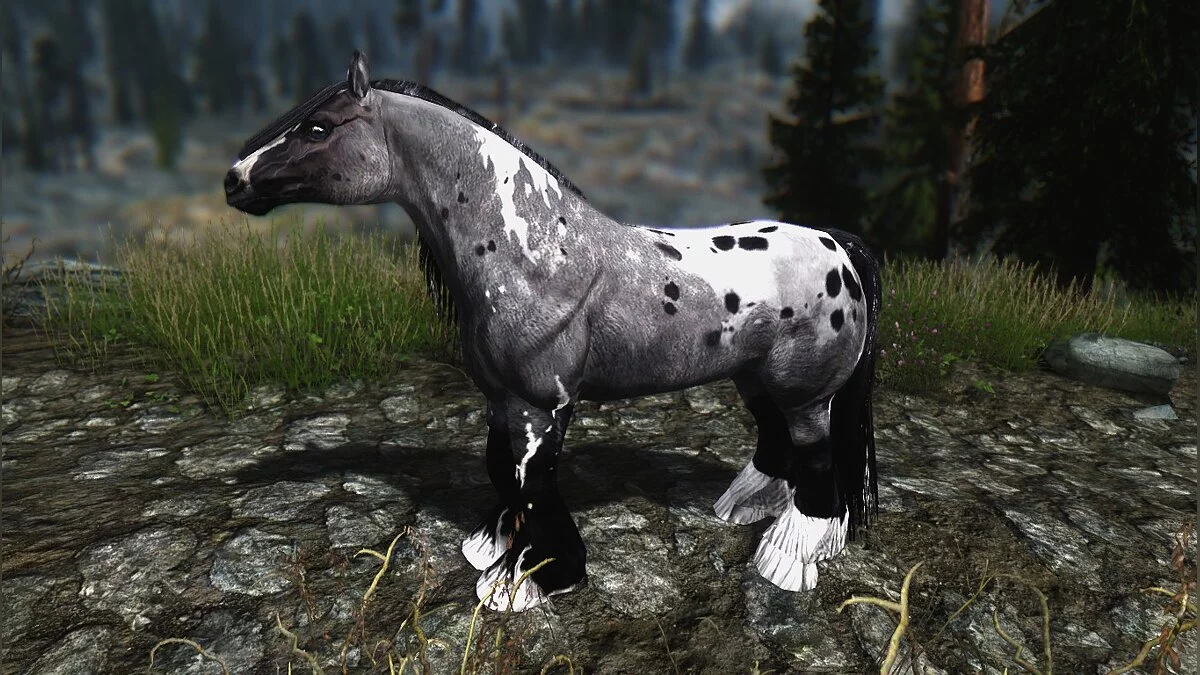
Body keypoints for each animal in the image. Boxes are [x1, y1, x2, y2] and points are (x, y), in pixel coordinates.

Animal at [225, 51, 882, 613]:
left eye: (318, 128)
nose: (234, 180)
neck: (535, 257)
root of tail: (835, 244)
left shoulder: (542, 405)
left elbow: (535, 482)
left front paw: (527, 580)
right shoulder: (501, 399)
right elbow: (501, 469)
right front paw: (492, 548)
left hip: (804, 393)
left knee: (816, 459)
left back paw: (787, 558)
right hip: (753, 378)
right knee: (775, 443)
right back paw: (743, 509)